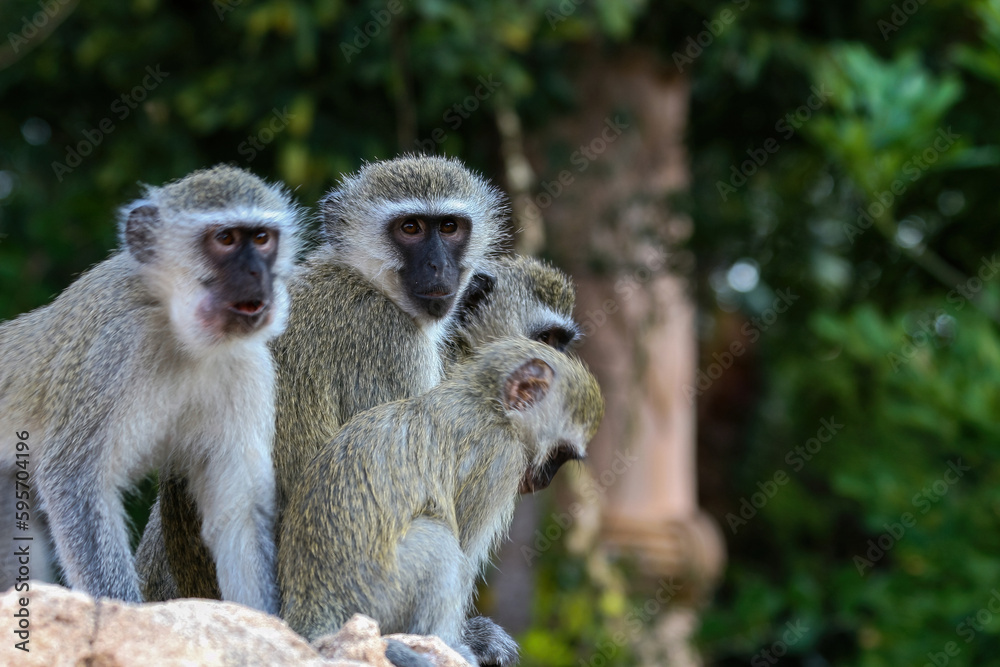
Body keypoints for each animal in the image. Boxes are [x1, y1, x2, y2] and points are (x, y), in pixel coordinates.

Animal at [0, 164, 302, 613]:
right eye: (226, 239)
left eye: (262, 239)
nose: (257, 275)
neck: (177, 329)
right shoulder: (117, 348)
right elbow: (74, 480)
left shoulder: (249, 367)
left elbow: (239, 513)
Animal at [278, 337, 604, 664]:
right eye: (559, 453)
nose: (545, 480)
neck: (487, 404)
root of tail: (312, 609)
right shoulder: (501, 461)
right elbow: (464, 552)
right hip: (376, 596)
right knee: (436, 539)